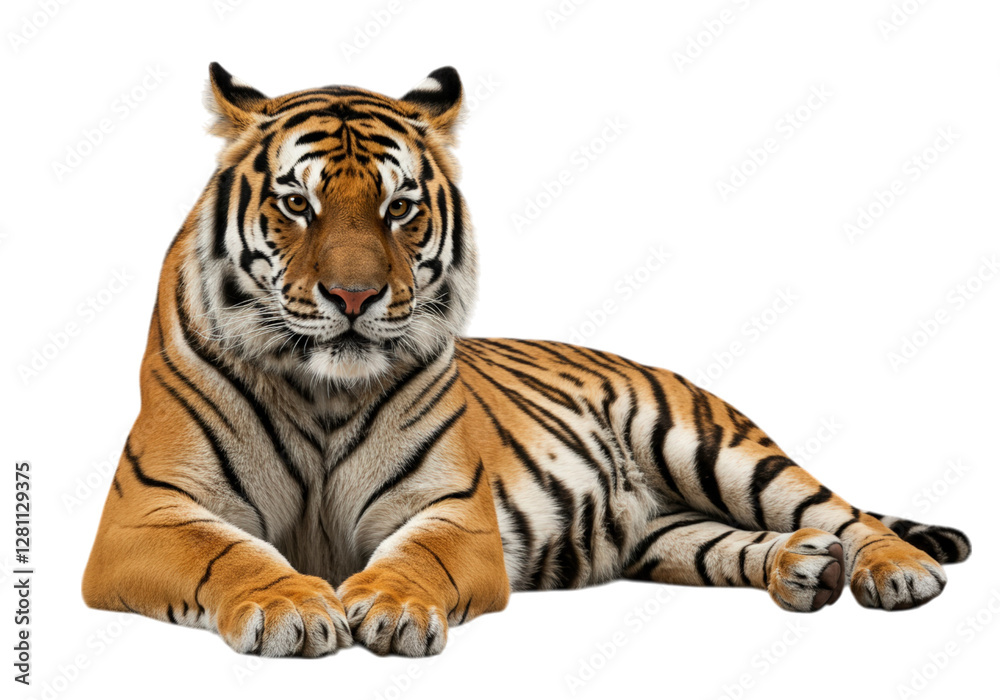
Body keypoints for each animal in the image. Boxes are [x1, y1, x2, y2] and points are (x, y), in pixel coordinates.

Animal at [82, 63, 972, 658]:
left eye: (399, 207)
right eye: (296, 203)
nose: (354, 296)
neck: (321, 391)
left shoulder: (453, 510)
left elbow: (416, 556)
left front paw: (391, 606)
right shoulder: (146, 513)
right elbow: (230, 550)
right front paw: (290, 608)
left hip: (716, 447)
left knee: (838, 511)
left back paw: (897, 572)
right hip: (661, 531)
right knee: (732, 542)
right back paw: (802, 570)